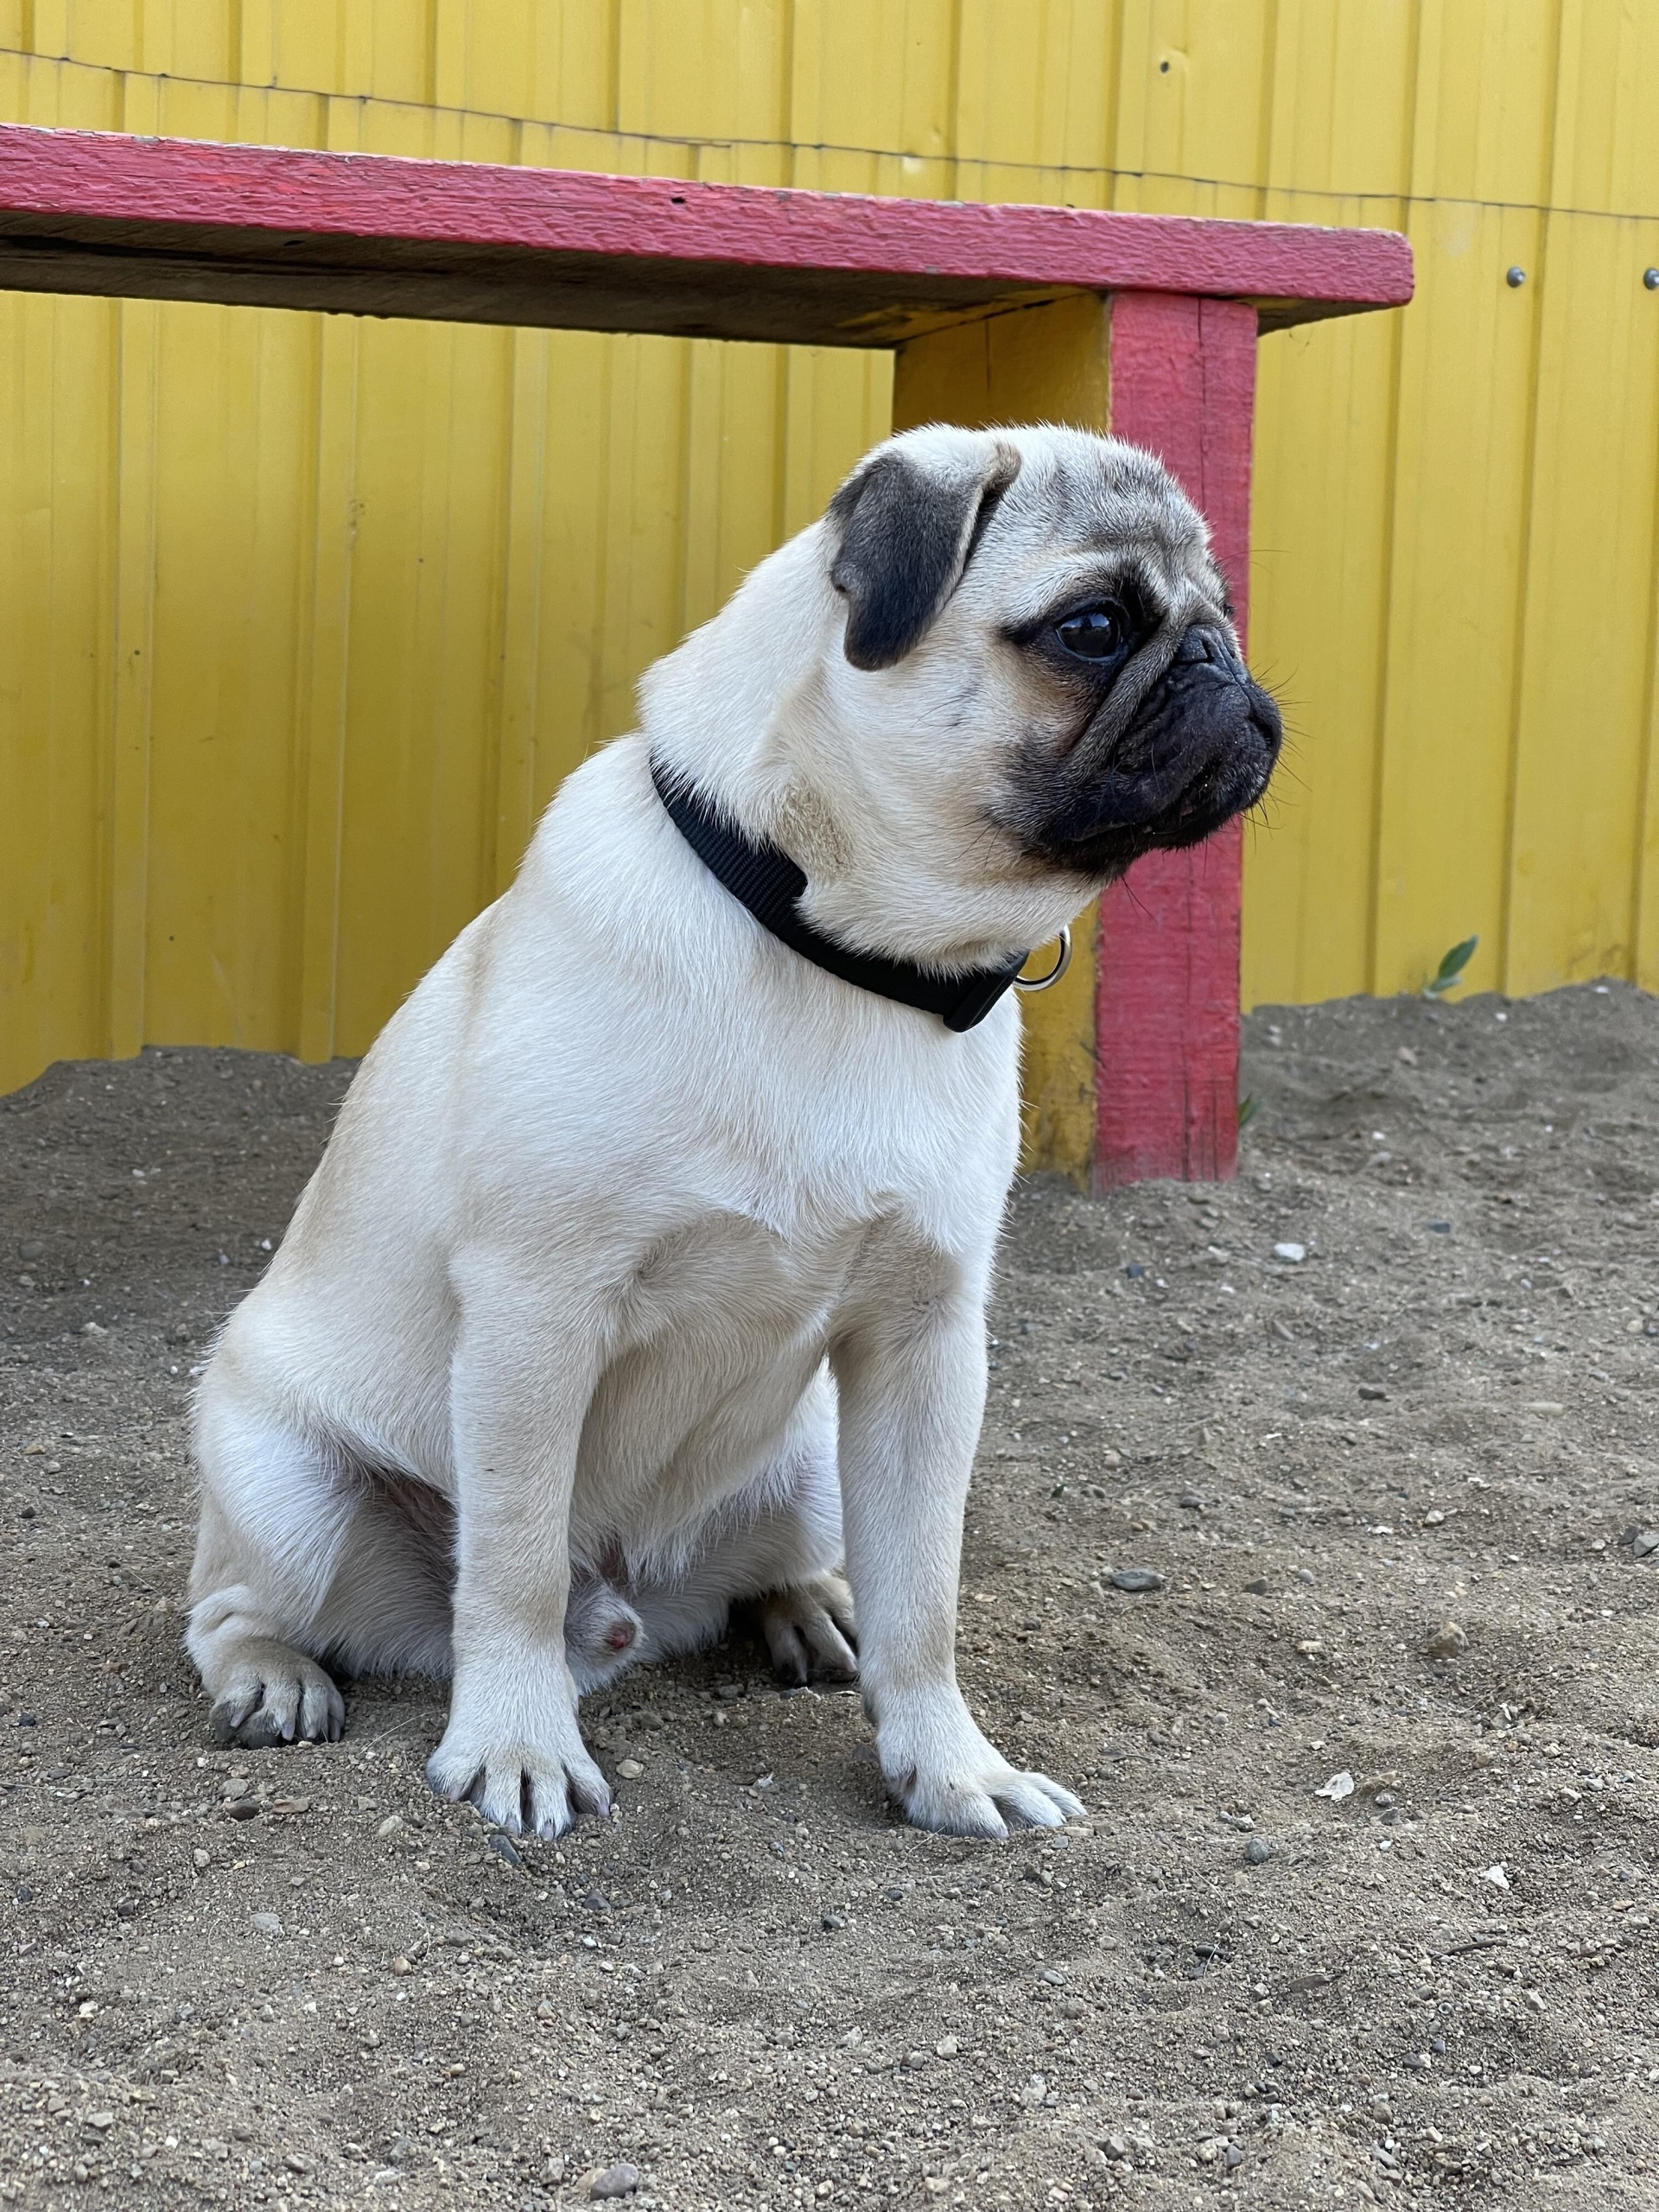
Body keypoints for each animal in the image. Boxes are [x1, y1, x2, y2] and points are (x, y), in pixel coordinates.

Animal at [191, 422, 1282, 1840]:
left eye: (1225, 610)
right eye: (1094, 628)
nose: (1219, 662)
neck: (842, 947)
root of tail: (624, 1613)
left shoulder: (928, 1344)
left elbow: (924, 1595)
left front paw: (949, 1765)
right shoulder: (537, 1315)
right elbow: (513, 1564)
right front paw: (515, 1741)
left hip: (811, 1457)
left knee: (813, 1569)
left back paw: (810, 1610)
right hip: (287, 1491)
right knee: (235, 1606)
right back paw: (272, 1676)